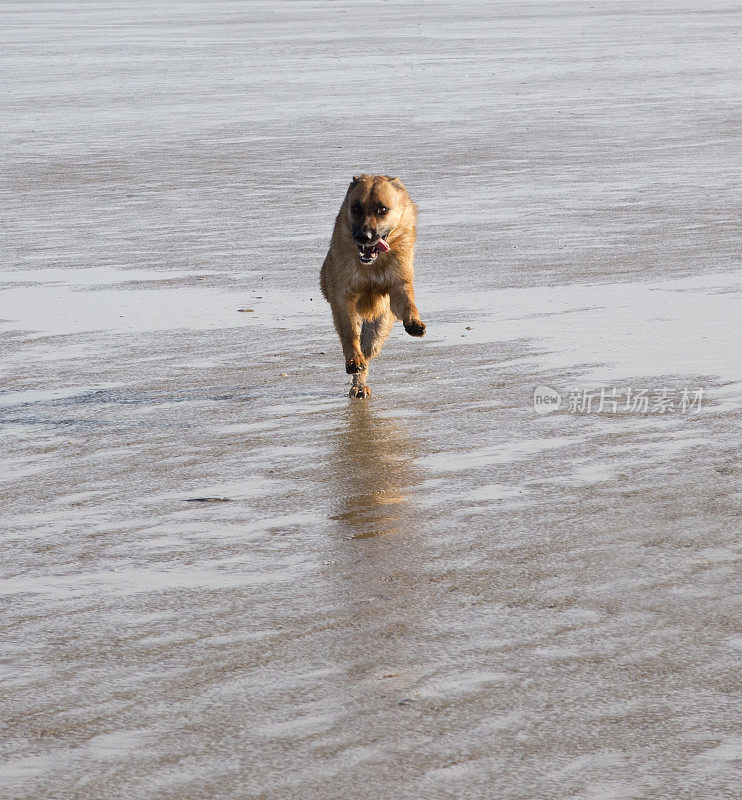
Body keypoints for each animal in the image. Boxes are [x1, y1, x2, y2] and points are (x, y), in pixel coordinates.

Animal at [318, 177, 428, 398]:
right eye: (356, 208)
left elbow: (409, 303)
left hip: (379, 328)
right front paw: (353, 359)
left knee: (368, 350)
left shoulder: (398, 286)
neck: (372, 266)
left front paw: (414, 322)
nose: (363, 237)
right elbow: (349, 333)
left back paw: (359, 385)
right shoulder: (343, 299)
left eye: (382, 209)